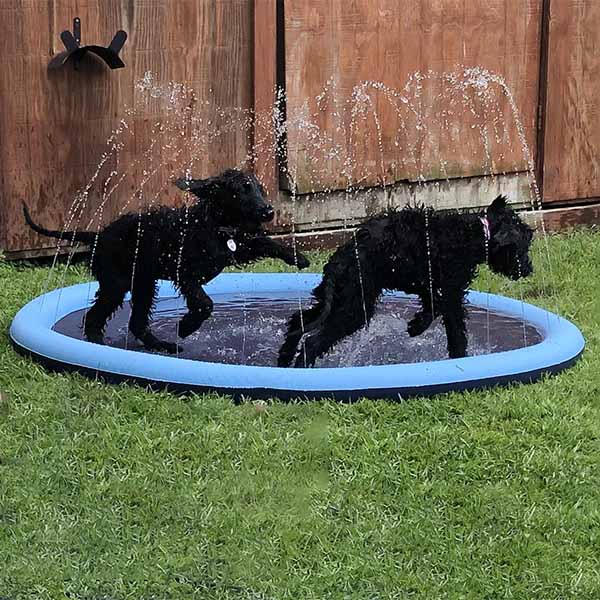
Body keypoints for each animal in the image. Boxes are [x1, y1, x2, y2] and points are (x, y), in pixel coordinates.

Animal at [24, 169, 310, 352]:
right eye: (242, 190)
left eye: (259, 189)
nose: (269, 211)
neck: (213, 223)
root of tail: (98, 236)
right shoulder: (187, 274)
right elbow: (204, 304)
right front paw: (186, 326)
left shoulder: (236, 247)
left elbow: (263, 243)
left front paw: (297, 257)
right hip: (116, 284)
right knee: (95, 317)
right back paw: (98, 346)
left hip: (143, 284)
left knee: (137, 323)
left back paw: (162, 345)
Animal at [278, 195, 532, 368]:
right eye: (522, 247)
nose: (529, 270)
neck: (477, 233)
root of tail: (340, 260)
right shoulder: (451, 289)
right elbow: (454, 327)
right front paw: (457, 356)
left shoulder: (427, 286)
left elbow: (432, 306)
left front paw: (416, 325)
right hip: (355, 306)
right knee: (313, 341)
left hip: (334, 299)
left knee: (297, 321)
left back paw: (284, 359)